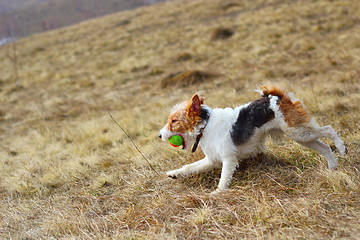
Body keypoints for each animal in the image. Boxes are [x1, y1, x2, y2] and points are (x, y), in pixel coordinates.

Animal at [160, 85, 346, 192]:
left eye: (174, 121)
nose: (159, 135)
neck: (206, 125)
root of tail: (276, 97)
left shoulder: (228, 159)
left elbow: (223, 180)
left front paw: (217, 194)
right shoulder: (212, 159)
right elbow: (189, 167)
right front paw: (174, 174)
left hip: (299, 132)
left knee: (329, 130)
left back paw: (342, 147)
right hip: (301, 137)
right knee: (325, 147)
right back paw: (332, 167)